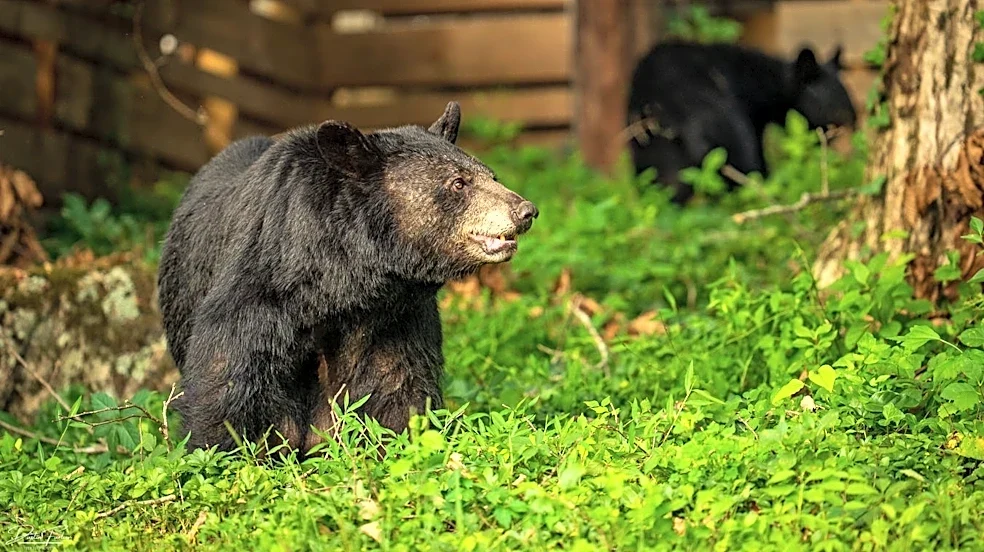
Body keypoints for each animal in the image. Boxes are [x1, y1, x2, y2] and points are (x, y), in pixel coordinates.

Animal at [156, 102, 539, 455]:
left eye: (491, 176)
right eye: (458, 182)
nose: (525, 211)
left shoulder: (396, 322)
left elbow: (398, 391)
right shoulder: (261, 294)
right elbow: (228, 384)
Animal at [626, 41, 858, 204]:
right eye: (837, 115)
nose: (854, 128)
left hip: (648, 141)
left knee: (664, 183)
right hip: (720, 123)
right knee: (743, 164)